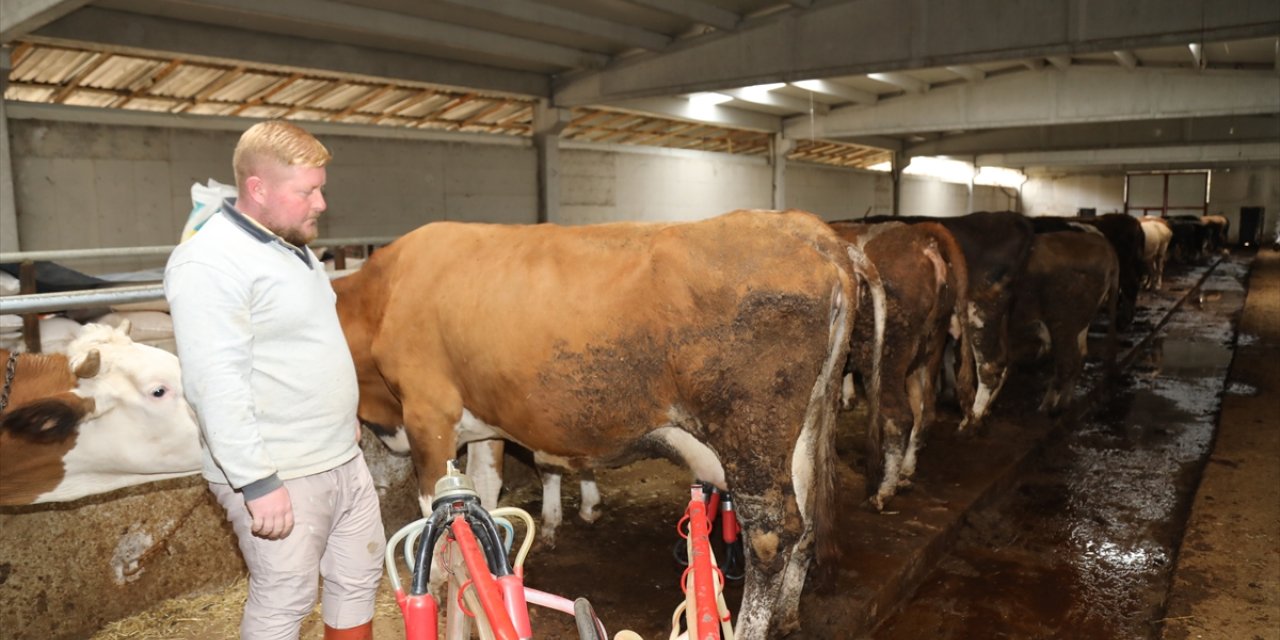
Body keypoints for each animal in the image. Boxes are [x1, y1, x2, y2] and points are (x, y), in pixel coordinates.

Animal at [335, 211, 865, 640]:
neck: (381, 297)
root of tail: (805, 228)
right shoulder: (482, 421)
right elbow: (482, 490)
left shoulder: (428, 414)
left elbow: (433, 509)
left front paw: (442, 579)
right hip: (802, 432)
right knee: (806, 523)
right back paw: (788, 615)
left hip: (751, 434)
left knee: (771, 536)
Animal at [829, 222, 967, 512]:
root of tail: (921, 240)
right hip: (927, 354)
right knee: (924, 412)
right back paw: (905, 474)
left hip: (888, 359)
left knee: (900, 417)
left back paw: (884, 491)